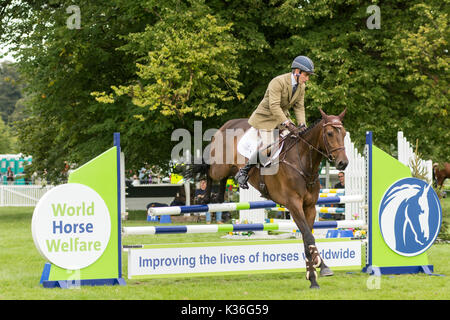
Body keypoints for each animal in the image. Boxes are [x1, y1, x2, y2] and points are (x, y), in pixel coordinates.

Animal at [186, 109, 348, 288]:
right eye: (330, 133)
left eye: (344, 134)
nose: (343, 163)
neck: (303, 162)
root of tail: (226, 124)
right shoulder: (294, 205)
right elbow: (308, 236)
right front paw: (321, 266)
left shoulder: (309, 207)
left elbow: (306, 239)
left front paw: (313, 277)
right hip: (220, 166)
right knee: (209, 171)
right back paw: (205, 198)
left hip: (231, 167)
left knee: (225, 177)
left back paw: (220, 196)